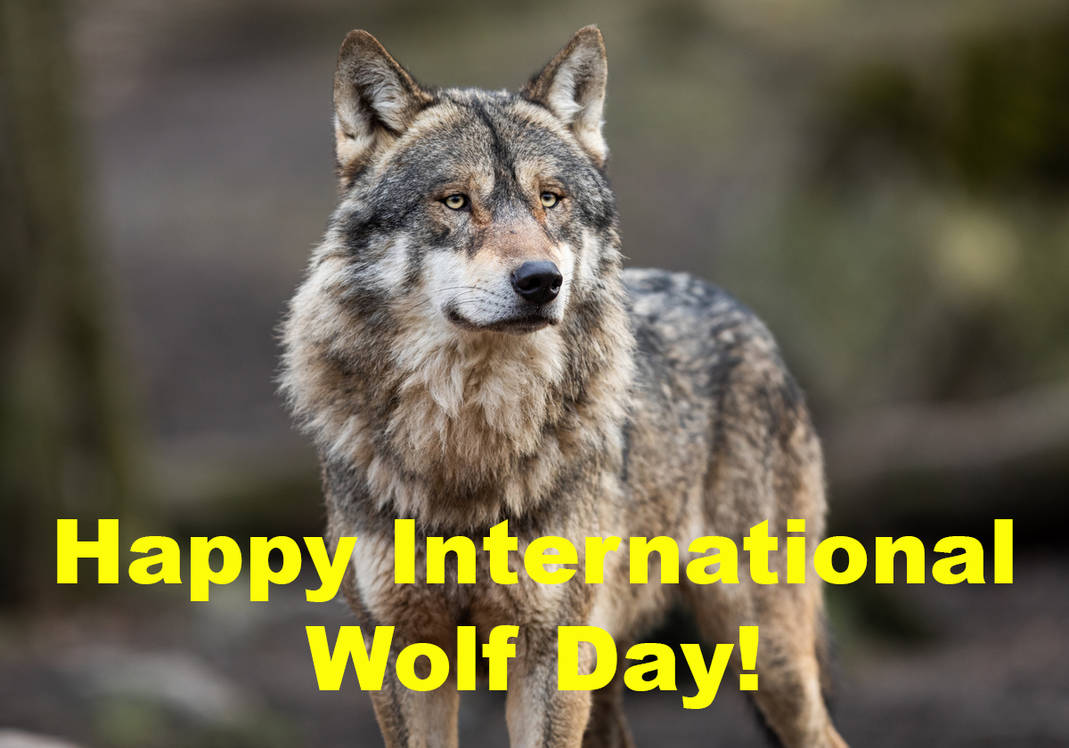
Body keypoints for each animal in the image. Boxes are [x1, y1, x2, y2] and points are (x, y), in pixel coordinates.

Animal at [281, 25, 847, 748]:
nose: (540, 280)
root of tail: (740, 311)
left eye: (549, 198)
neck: (469, 441)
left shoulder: (549, 651)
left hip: (761, 652)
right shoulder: (402, 650)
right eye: (455, 200)